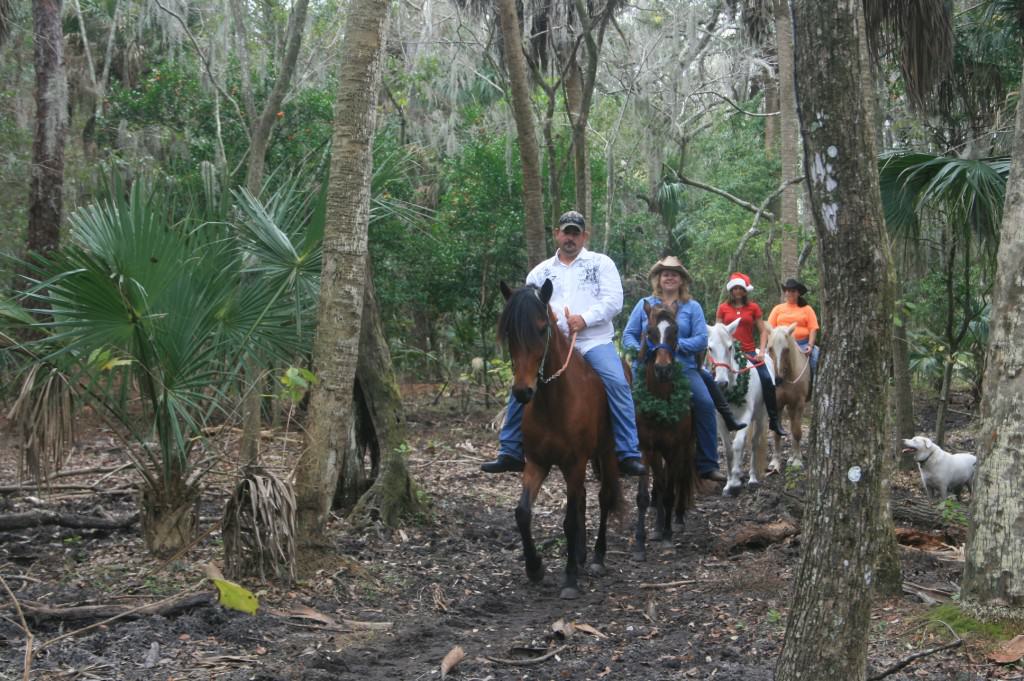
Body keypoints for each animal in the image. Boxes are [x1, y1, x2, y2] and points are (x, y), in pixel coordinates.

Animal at [497, 278, 622, 598]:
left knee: (603, 498)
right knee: (583, 499)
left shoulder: (575, 463)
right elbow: (523, 513)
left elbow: (569, 521)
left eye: (542, 328)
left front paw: (569, 579)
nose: (523, 392)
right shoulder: (537, 463)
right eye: (509, 332)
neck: (553, 402)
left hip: (606, 453)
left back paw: (597, 557)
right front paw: (535, 568)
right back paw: (579, 554)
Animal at [630, 301, 696, 557]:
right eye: (649, 332)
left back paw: (675, 521)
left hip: (685, 449)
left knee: (679, 480)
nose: (663, 370)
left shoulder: (675, 448)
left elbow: (669, 492)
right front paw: (640, 543)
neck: (659, 400)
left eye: (675, 331)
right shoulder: (645, 449)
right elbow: (643, 495)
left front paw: (668, 537)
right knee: (659, 481)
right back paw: (658, 527)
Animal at [712, 321, 770, 497]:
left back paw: (752, 479)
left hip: (760, 417)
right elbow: (728, 450)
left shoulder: (745, 416)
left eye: (730, 347)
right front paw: (728, 484)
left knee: (754, 443)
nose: (721, 383)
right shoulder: (721, 421)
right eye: (709, 348)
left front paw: (736, 482)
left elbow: (738, 444)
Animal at [765, 323, 811, 471]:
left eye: (786, 349)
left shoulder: (799, 403)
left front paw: (797, 461)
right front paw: (775, 462)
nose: (777, 379)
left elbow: (797, 431)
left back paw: (795, 456)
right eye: (770, 348)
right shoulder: (778, 404)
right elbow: (776, 433)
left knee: (794, 427)